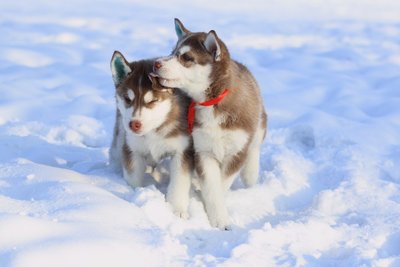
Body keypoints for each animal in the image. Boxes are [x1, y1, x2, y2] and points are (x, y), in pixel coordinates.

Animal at [108, 51, 192, 219]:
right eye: (128, 99)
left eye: (152, 101)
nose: (134, 124)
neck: (153, 131)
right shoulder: (132, 148)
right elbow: (132, 176)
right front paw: (133, 196)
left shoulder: (182, 150)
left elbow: (179, 183)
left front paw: (177, 210)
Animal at [152, 18, 268, 229]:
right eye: (172, 51)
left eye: (186, 57)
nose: (156, 63)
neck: (212, 102)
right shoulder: (203, 150)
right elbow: (212, 187)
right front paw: (218, 217)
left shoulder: (237, 151)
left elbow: (221, 184)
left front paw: (216, 215)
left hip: (259, 122)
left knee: (255, 145)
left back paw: (250, 172)